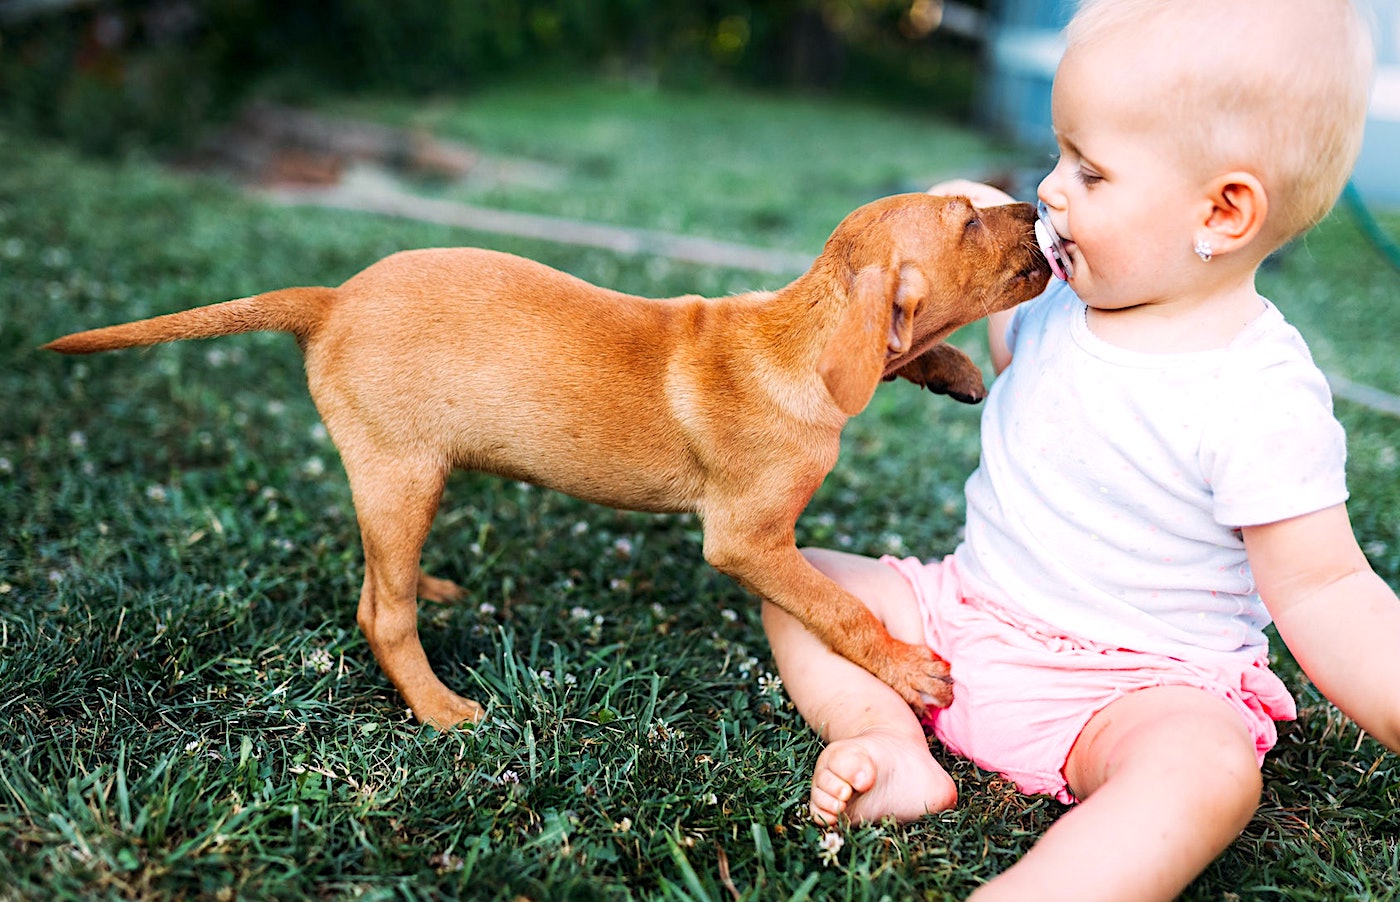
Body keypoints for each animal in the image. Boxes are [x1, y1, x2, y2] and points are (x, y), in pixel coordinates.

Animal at [43, 193, 1047, 728]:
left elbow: (902, 350)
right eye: (967, 219)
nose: (1038, 206)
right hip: (402, 470)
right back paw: (439, 707)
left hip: (402, 478)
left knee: (378, 570)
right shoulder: (749, 540)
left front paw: (953, 367)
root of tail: (329, 300)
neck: (791, 339)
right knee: (380, 613)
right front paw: (907, 669)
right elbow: (839, 608)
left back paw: (432, 585)